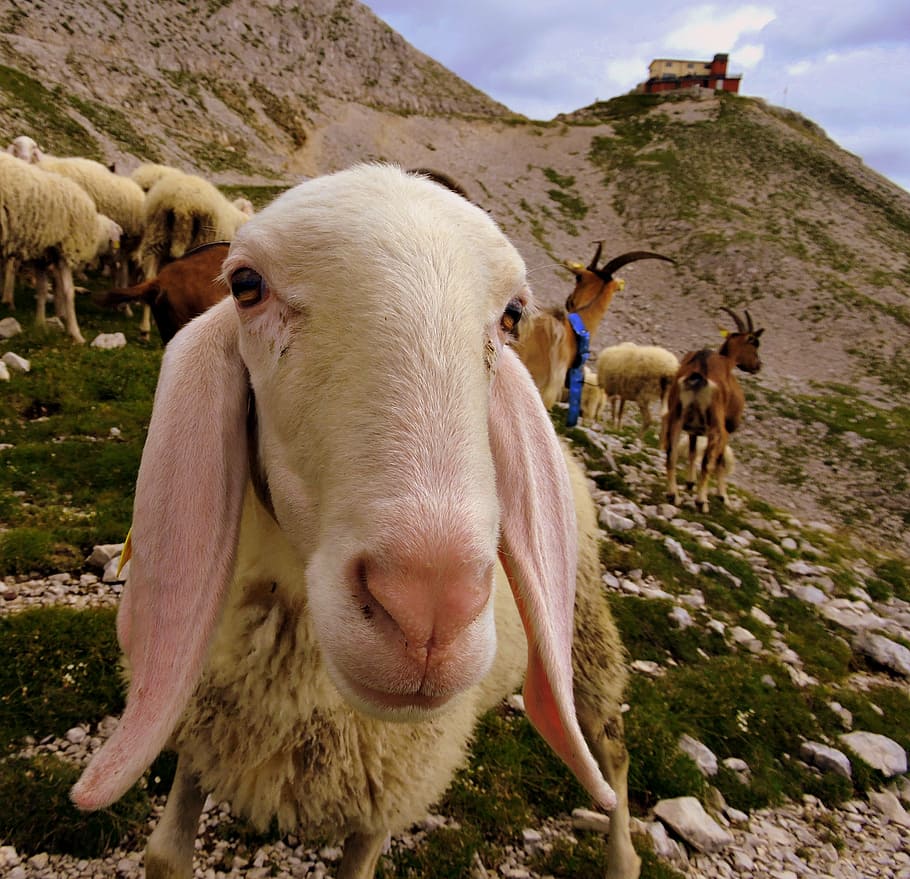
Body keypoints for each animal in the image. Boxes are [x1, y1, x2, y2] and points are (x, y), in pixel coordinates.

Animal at [0, 153, 122, 343]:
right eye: (118, 238)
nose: (119, 262)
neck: (95, 231)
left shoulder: (43, 254)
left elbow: (42, 289)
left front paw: (40, 323)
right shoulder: (65, 250)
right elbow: (68, 291)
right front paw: (75, 333)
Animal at [662, 307, 764, 512]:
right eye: (754, 343)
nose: (758, 366)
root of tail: (699, 375)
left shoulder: (693, 429)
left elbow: (692, 451)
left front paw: (690, 482)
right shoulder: (727, 429)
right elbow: (718, 460)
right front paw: (723, 496)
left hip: (676, 417)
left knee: (672, 454)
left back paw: (673, 495)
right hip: (717, 427)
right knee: (707, 461)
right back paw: (701, 502)